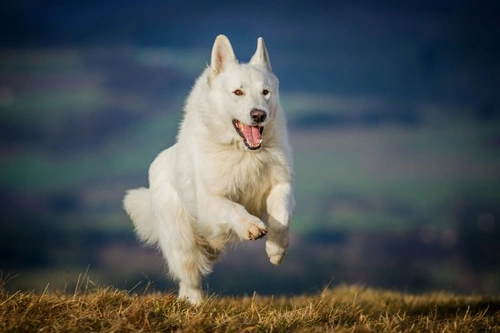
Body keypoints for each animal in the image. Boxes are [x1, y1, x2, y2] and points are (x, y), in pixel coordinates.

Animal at [123, 34, 292, 304]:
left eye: (265, 92)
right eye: (238, 92)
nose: (259, 115)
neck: (242, 152)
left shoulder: (281, 185)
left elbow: (281, 217)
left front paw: (276, 251)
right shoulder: (210, 200)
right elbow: (234, 208)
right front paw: (251, 226)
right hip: (184, 245)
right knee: (189, 280)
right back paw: (195, 305)